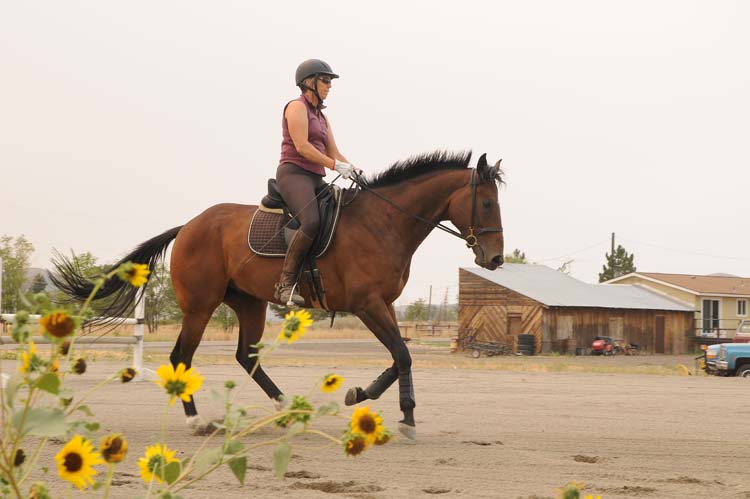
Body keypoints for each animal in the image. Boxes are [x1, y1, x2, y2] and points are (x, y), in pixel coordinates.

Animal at [51, 150, 506, 440]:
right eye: (486, 204)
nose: (496, 258)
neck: (384, 222)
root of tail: (189, 225)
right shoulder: (367, 305)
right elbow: (404, 354)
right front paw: (406, 417)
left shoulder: (384, 305)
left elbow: (398, 356)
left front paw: (362, 394)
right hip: (200, 305)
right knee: (182, 357)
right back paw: (197, 422)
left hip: (248, 302)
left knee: (246, 357)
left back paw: (287, 408)